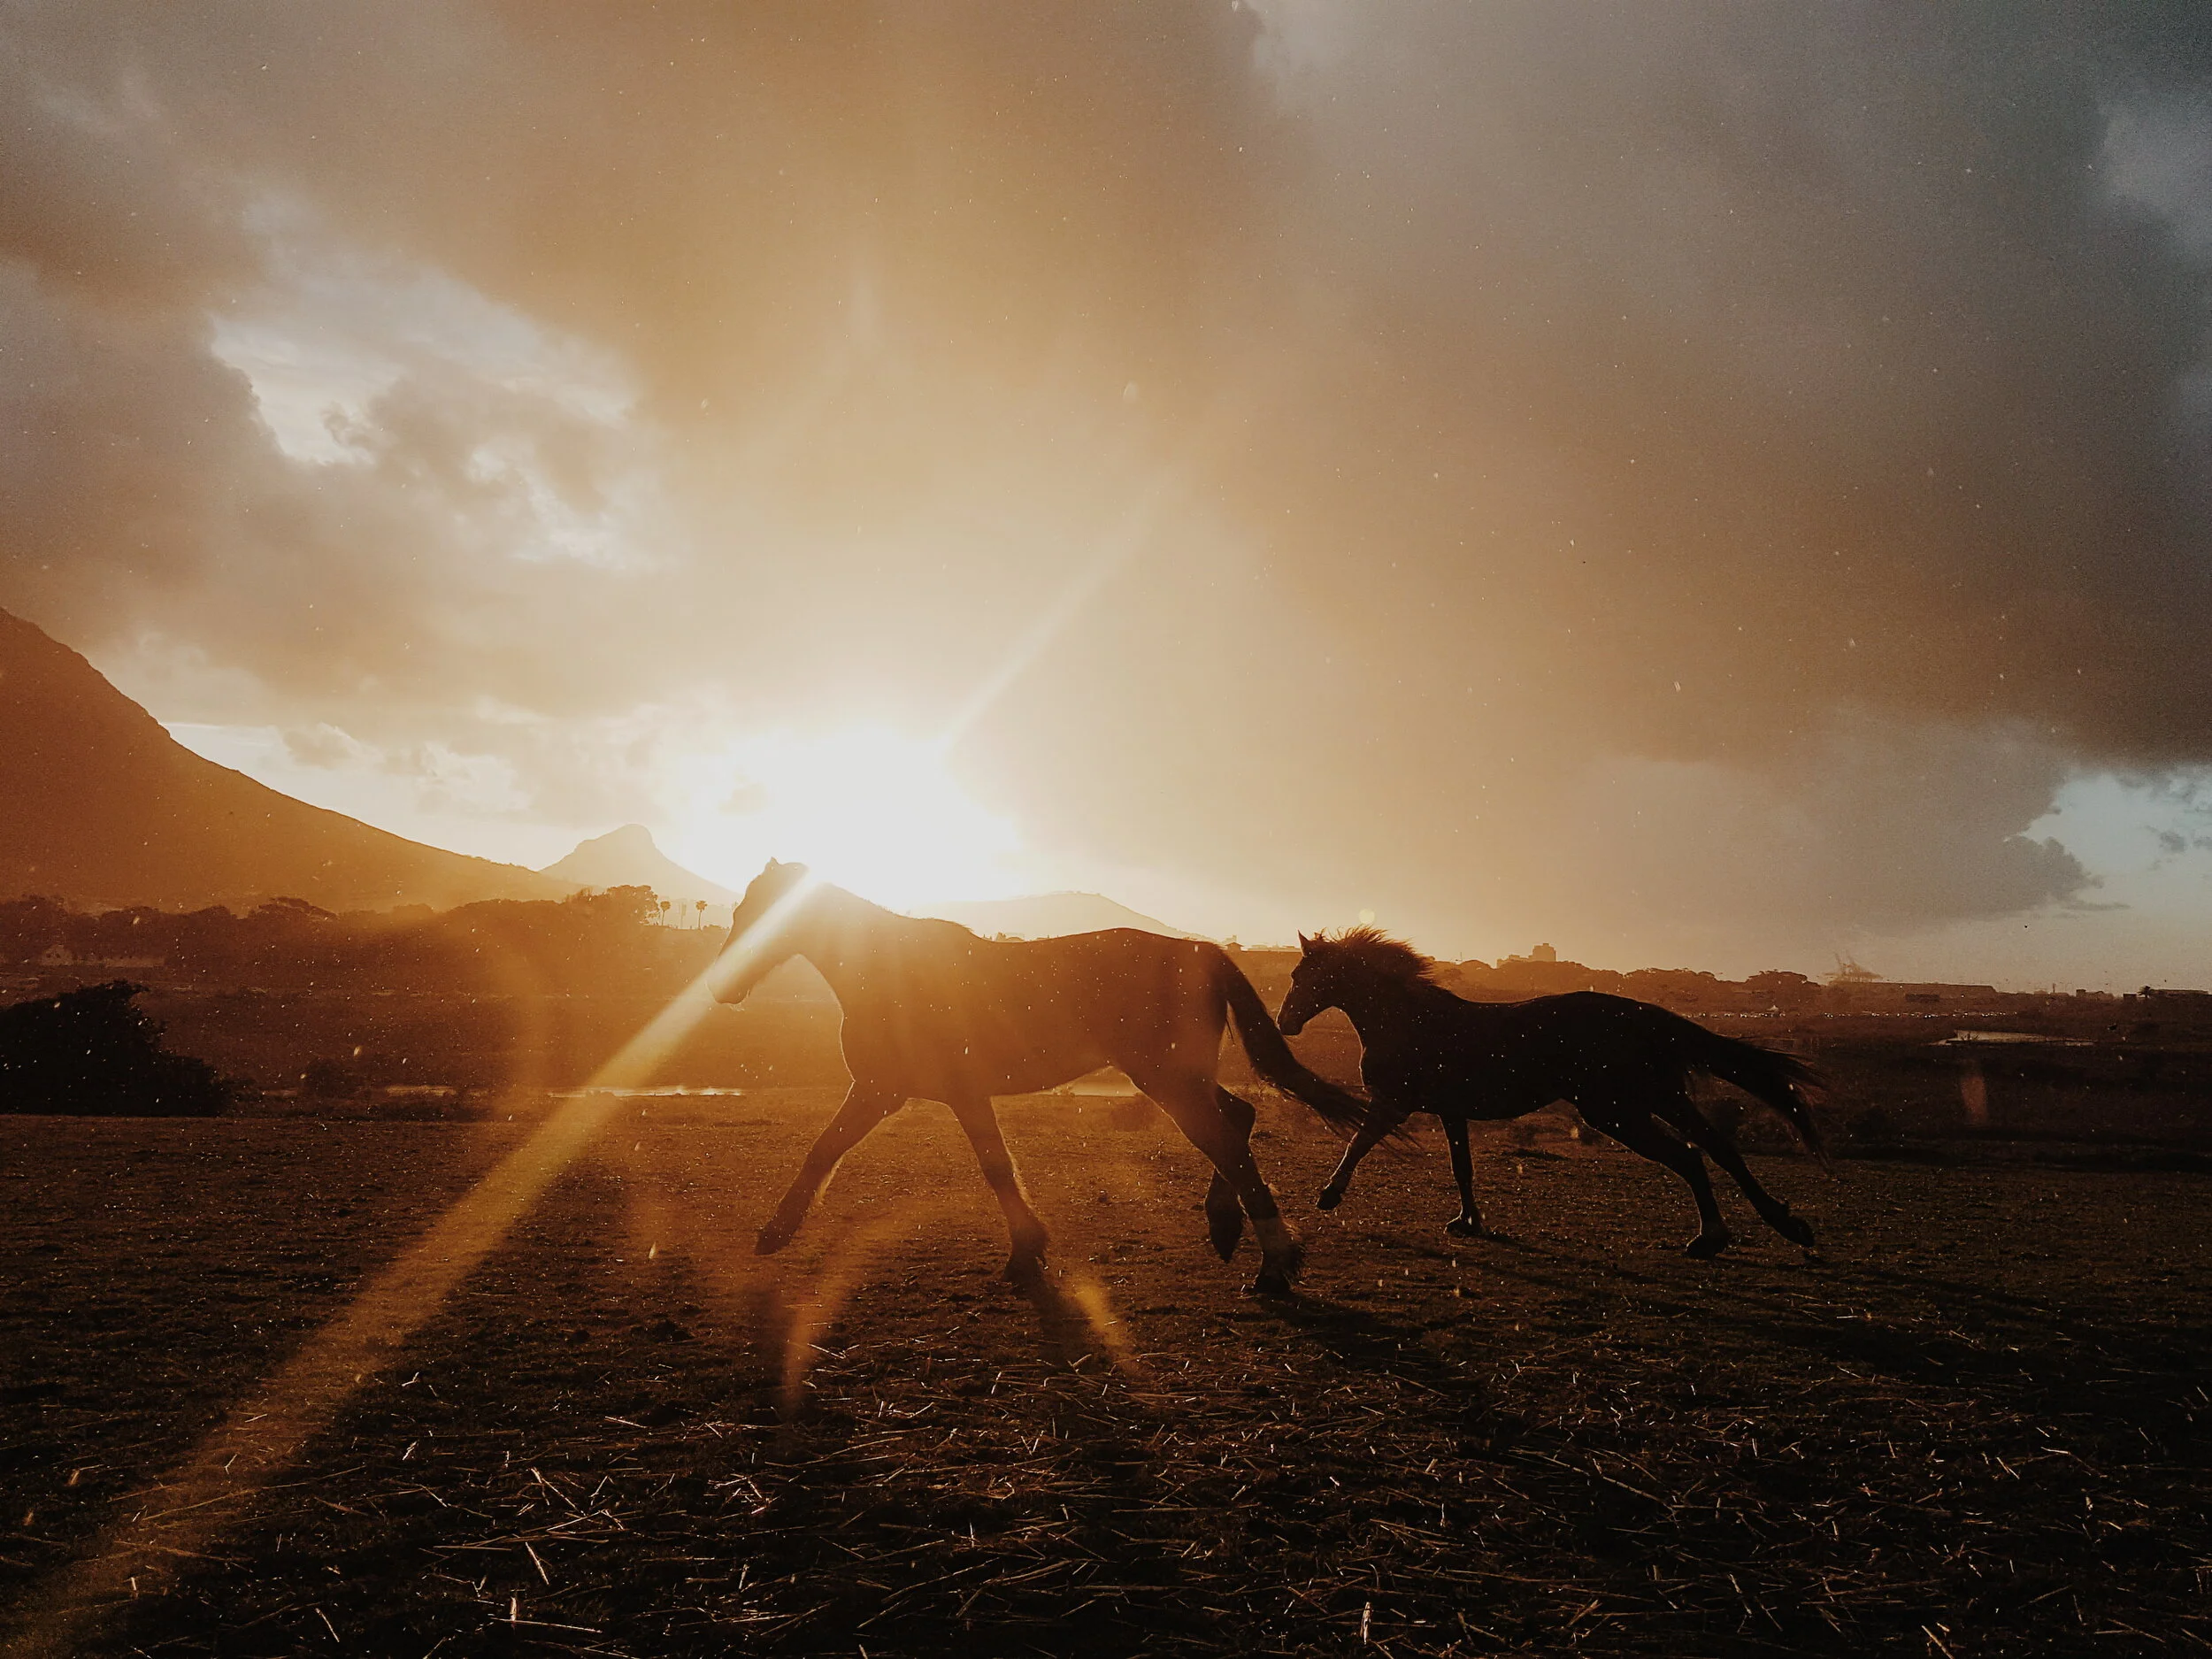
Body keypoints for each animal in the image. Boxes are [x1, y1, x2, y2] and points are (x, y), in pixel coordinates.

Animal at [706, 860, 1371, 1293]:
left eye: (756, 913)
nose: (720, 987)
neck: (888, 969)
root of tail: (1199, 951)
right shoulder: (889, 1092)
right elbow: (825, 1149)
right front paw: (776, 1232)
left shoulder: (923, 1092)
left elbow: (992, 1166)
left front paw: (1026, 1253)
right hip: (1177, 1077)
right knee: (1238, 1116)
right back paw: (1227, 1227)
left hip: (1166, 1079)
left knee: (1228, 1143)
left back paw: (1276, 1261)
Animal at [1276, 928, 1827, 1256]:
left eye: (1303, 975)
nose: (1284, 1023)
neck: (1409, 1020)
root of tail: (1648, 1016)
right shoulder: (1450, 1111)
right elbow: (1462, 1167)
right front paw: (1467, 1221)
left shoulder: (1398, 1102)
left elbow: (1359, 1142)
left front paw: (1328, 1196)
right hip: (1653, 1099)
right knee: (1713, 1148)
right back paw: (1775, 1226)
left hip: (1617, 1110)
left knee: (1693, 1153)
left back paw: (1716, 1236)